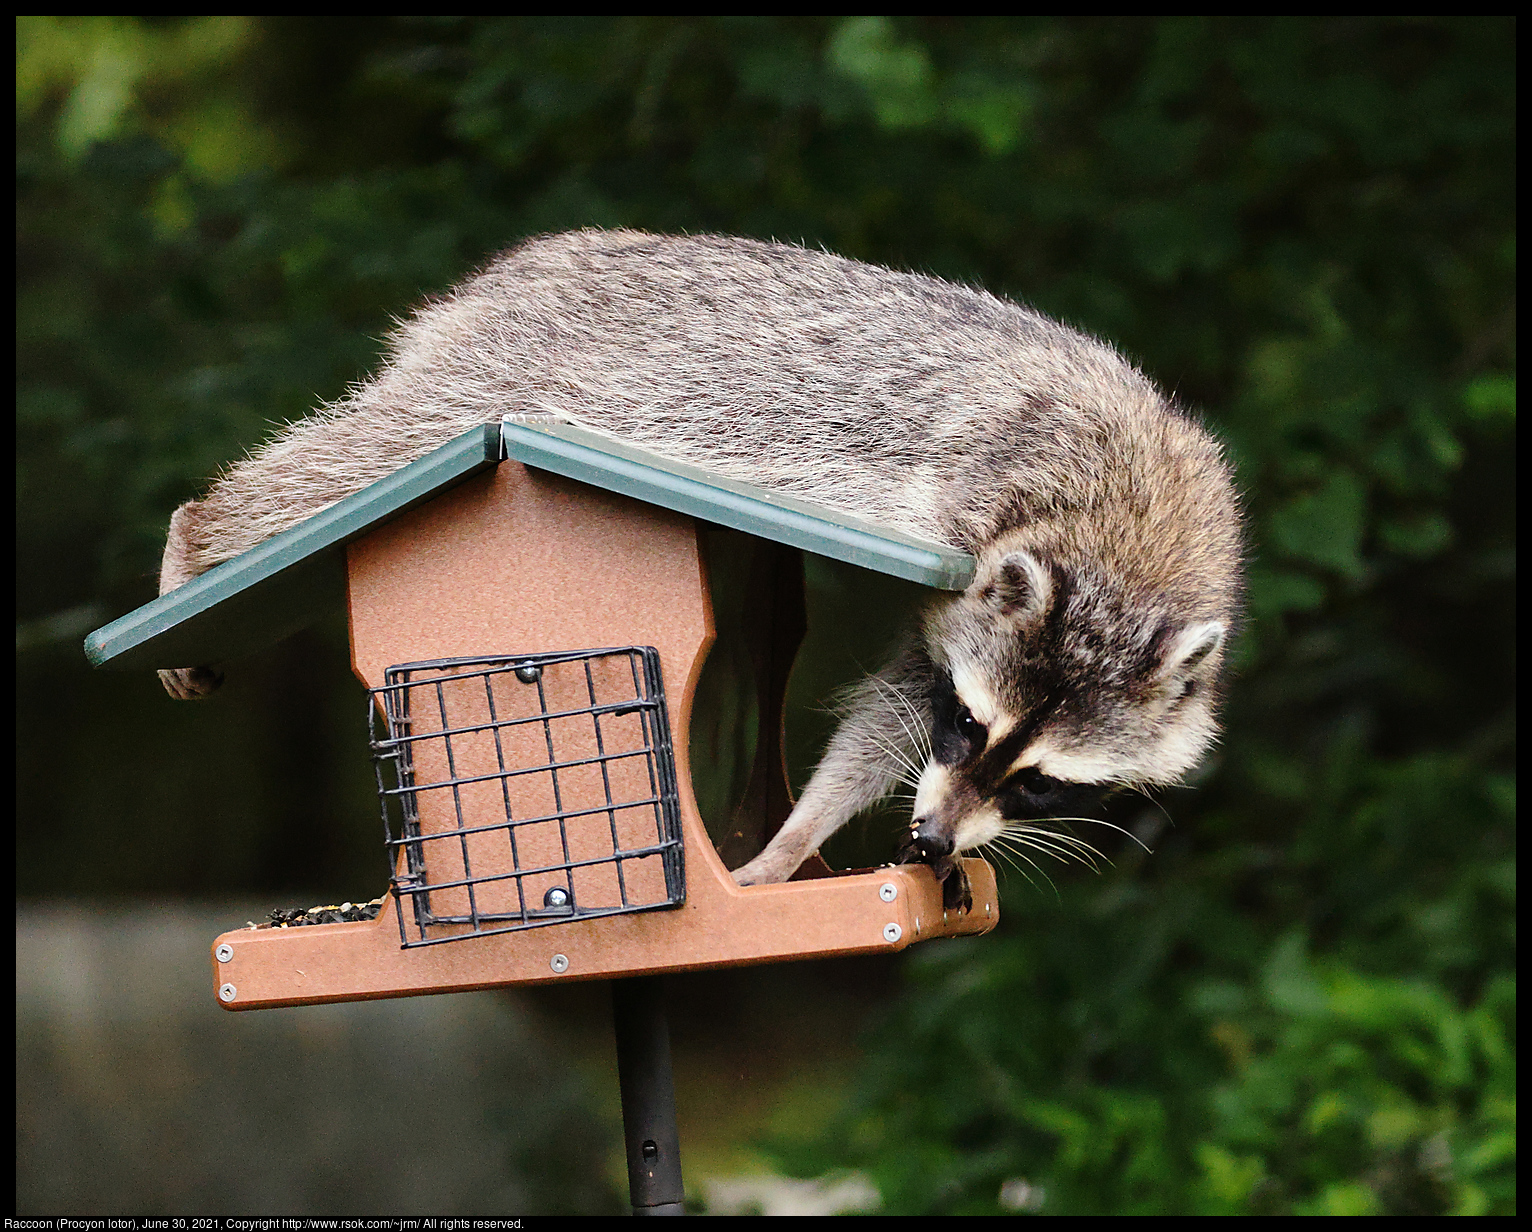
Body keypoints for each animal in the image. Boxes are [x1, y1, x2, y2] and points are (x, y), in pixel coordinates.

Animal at [155, 232, 1237, 907]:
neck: (1131, 540)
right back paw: (198, 532)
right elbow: (894, 697)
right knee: (352, 455)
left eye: (1044, 779)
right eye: (969, 724)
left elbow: (893, 703)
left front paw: (805, 835)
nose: (930, 839)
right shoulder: (961, 536)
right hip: (500, 374)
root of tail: (511, 273)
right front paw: (803, 832)